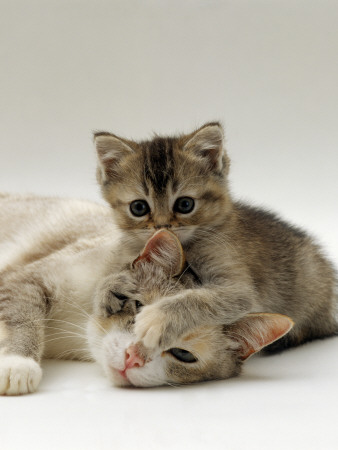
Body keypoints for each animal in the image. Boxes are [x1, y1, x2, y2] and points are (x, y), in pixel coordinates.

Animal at [94, 123, 338, 356]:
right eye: (139, 207)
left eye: (185, 204)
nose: (162, 226)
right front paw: (109, 286)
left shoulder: (240, 290)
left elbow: (199, 298)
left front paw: (158, 319)